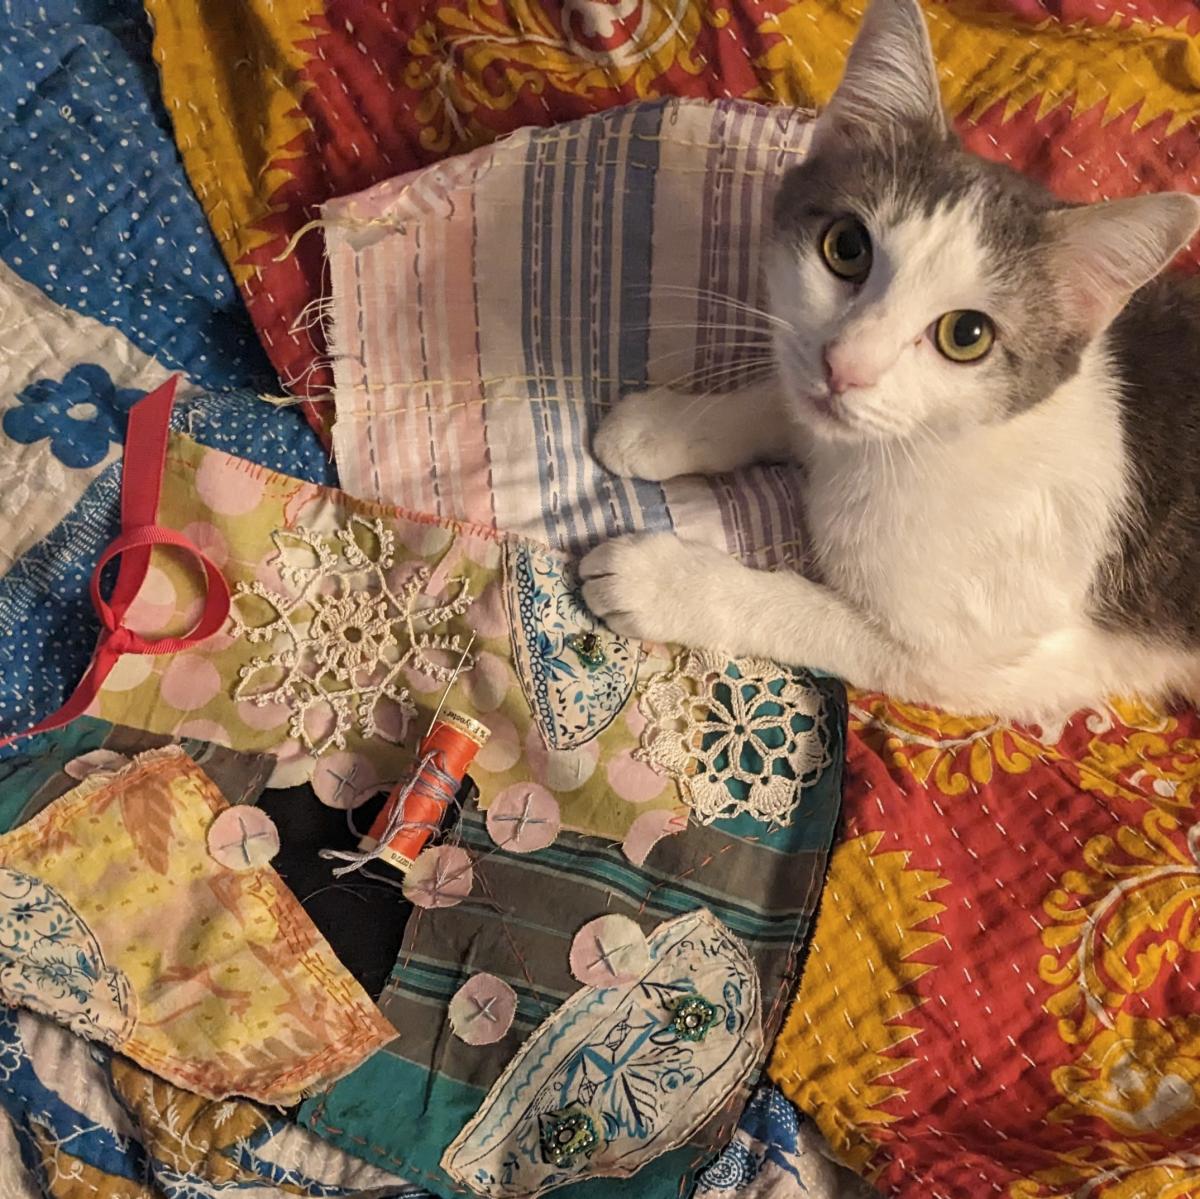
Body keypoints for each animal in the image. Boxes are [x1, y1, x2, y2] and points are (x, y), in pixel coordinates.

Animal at [576, 0, 1195, 724]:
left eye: (967, 334)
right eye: (846, 247)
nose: (846, 365)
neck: (911, 451)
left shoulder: (975, 663)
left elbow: (805, 612)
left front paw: (664, 582)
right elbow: (785, 401)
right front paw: (668, 425)